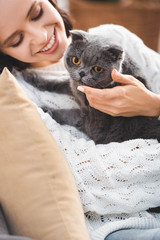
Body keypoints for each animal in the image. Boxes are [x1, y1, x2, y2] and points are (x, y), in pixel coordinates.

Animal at [23, 29, 160, 142]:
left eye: (98, 69)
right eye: (76, 60)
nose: (82, 73)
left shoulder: (95, 125)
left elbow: (70, 114)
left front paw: (45, 110)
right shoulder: (74, 85)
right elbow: (57, 82)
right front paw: (29, 76)